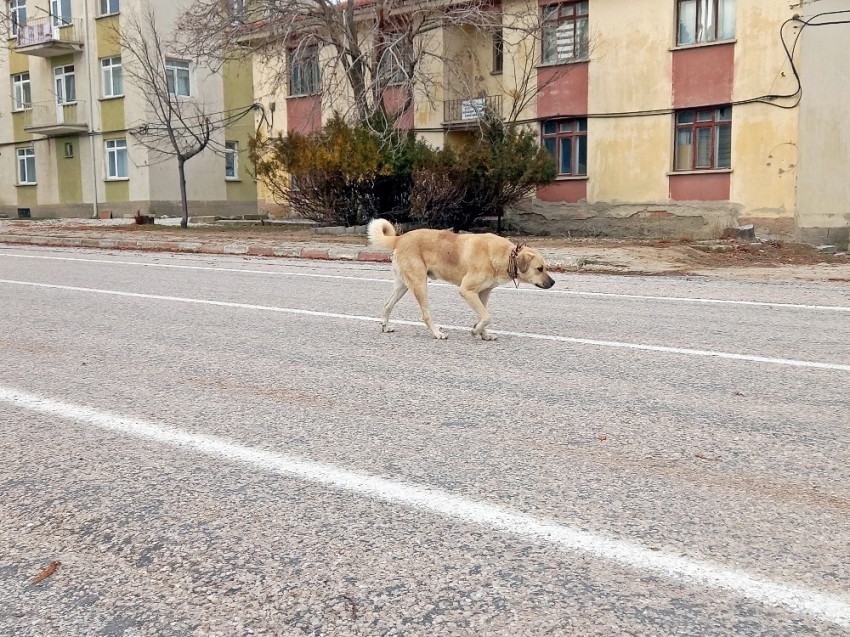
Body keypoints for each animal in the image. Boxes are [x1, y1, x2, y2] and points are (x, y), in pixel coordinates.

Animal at [366, 217, 552, 340]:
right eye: (539, 269)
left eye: (545, 267)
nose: (553, 282)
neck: (504, 256)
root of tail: (400, 238)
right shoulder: (467, 291)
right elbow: (487, 317)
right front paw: (476, 331)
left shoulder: (483, 293)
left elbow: (483, 315)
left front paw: (482, 333)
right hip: (419, 284)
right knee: (425, 314)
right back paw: (437, 333)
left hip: (403, 285)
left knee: (387, 305)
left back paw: (385, 326)